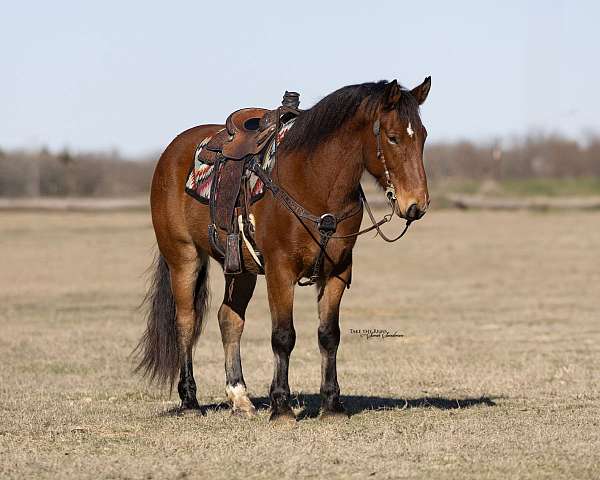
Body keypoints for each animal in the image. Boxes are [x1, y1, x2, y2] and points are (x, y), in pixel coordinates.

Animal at [137, 79, 432, 420]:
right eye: (393, 137)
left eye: (423, 136)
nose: (416, 204)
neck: (312, 182)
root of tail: (171, 152)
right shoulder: (280, 272)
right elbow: (283, 336)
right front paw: (281, 407)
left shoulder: (337, 272)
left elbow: (329, 335)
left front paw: (332, 404)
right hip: (183, 258)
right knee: (185, 322)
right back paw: (189, 401)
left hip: (240, 268)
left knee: (229, 319)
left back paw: (240, 397)